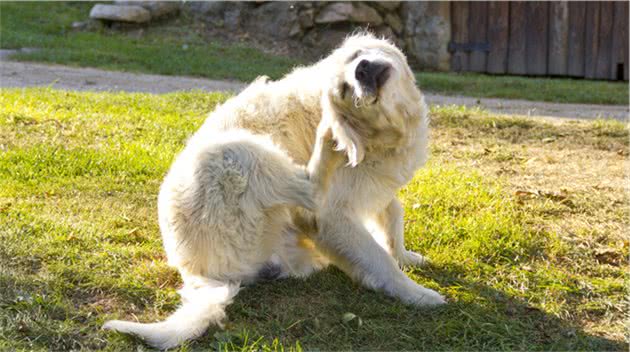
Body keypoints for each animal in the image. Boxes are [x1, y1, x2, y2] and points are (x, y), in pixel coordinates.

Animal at [103, 32, 446, 350]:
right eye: (345, 91)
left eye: (356, 56)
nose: (360, 69)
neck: (383, 136)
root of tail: (196, 273)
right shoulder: (333, 216)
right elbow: (379, 259)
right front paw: (417, 294)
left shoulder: (376, 186)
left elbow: (393, 214)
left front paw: (405, 255)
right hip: (233, 153)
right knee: (309, 191)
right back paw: (327, 140)